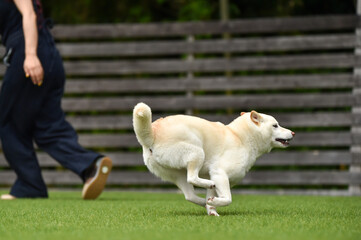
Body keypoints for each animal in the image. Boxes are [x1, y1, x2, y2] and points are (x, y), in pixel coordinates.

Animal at [131, 102, 292, 217]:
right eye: (275, 125)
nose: (293, 133)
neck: (240, 137)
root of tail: (152, 133)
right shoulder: (219, 173)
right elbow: (228, 199)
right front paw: (215, 203)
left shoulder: (214, 175)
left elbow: (214, 196)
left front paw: (212, 207)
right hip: (197, 153)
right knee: (192, 178)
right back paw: (208, 191)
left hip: (178, 175)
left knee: (190, 195)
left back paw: (207, 204)